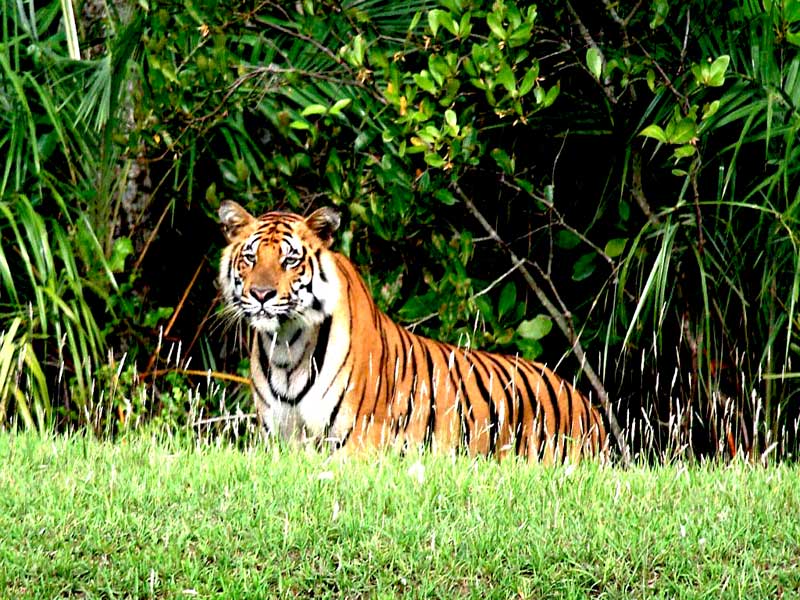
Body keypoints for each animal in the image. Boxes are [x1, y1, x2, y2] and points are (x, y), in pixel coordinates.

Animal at [217, 202, 608, 464]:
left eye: (290, 260)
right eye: (250, 258)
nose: (262, 294)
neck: (286, 346)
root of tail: (588, 405)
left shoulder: (360, 442)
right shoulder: (279, 442)